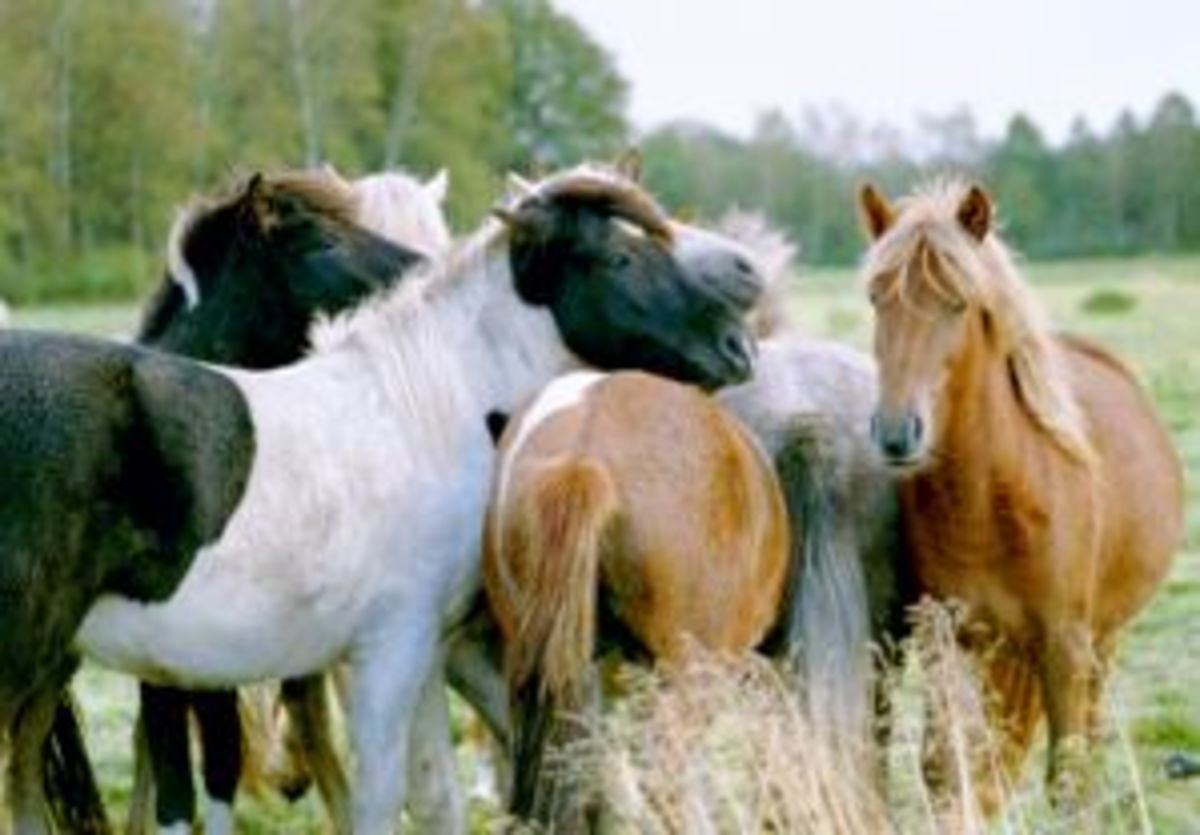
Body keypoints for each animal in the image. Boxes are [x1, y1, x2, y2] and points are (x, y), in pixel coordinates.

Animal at [857, 179, 1183, 812]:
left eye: (957, 303)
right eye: (877, 298)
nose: (896, 433)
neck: (990, 501)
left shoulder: (1065, 646)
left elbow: (1067, 778)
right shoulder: (948, 640)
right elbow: (947, 768)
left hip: (1100, 643)